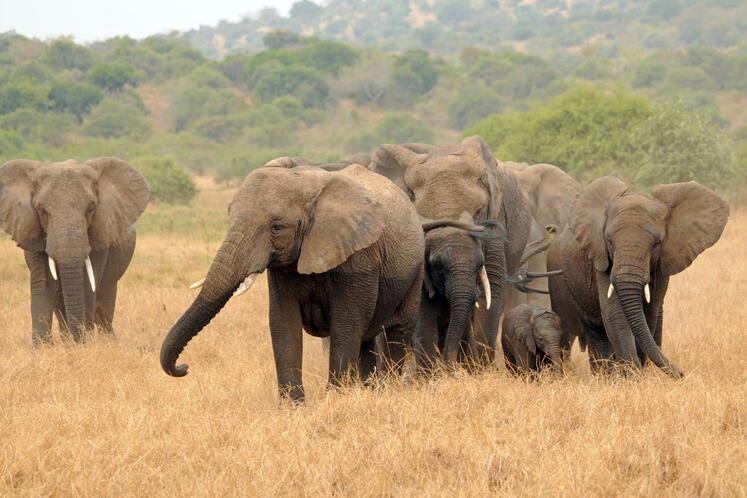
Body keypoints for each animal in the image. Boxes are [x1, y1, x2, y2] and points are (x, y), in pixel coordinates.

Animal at [0, 158, 150, 345]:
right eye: (41, 210)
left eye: (91, 208)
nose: (79, 340)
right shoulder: (34, 232)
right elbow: (43, 285)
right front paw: (43, 348)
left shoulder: (99, 234)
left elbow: (87, 285)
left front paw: (81, 345)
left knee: (105, 302)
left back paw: (107, 340)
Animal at [160, 163, 464, 402]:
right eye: (229, 215)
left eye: (277, 227)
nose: (184, 367)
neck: (308, 186)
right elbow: (283, 322)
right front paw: (293, 407)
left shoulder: (359, 256)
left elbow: (346, 324)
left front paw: (336, 399)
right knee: (366, 339)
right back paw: (368, 391)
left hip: (413, 271)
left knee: (395, 331)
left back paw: (386, 391)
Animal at [368, 136, 533, 369]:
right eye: (423, 218)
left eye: (479, 212)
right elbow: (422, 298)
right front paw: (432, 374)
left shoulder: (496, 224)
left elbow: (492, 289)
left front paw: (477, 371)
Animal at [547, 177, 729, 377]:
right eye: (609, 241)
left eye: (656, 243)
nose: (682, 374)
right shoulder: (600, 258)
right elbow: (615, 314)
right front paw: (633, 377)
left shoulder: (661, 264)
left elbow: (649, 313)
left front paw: (638, 375)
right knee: (594, 329)